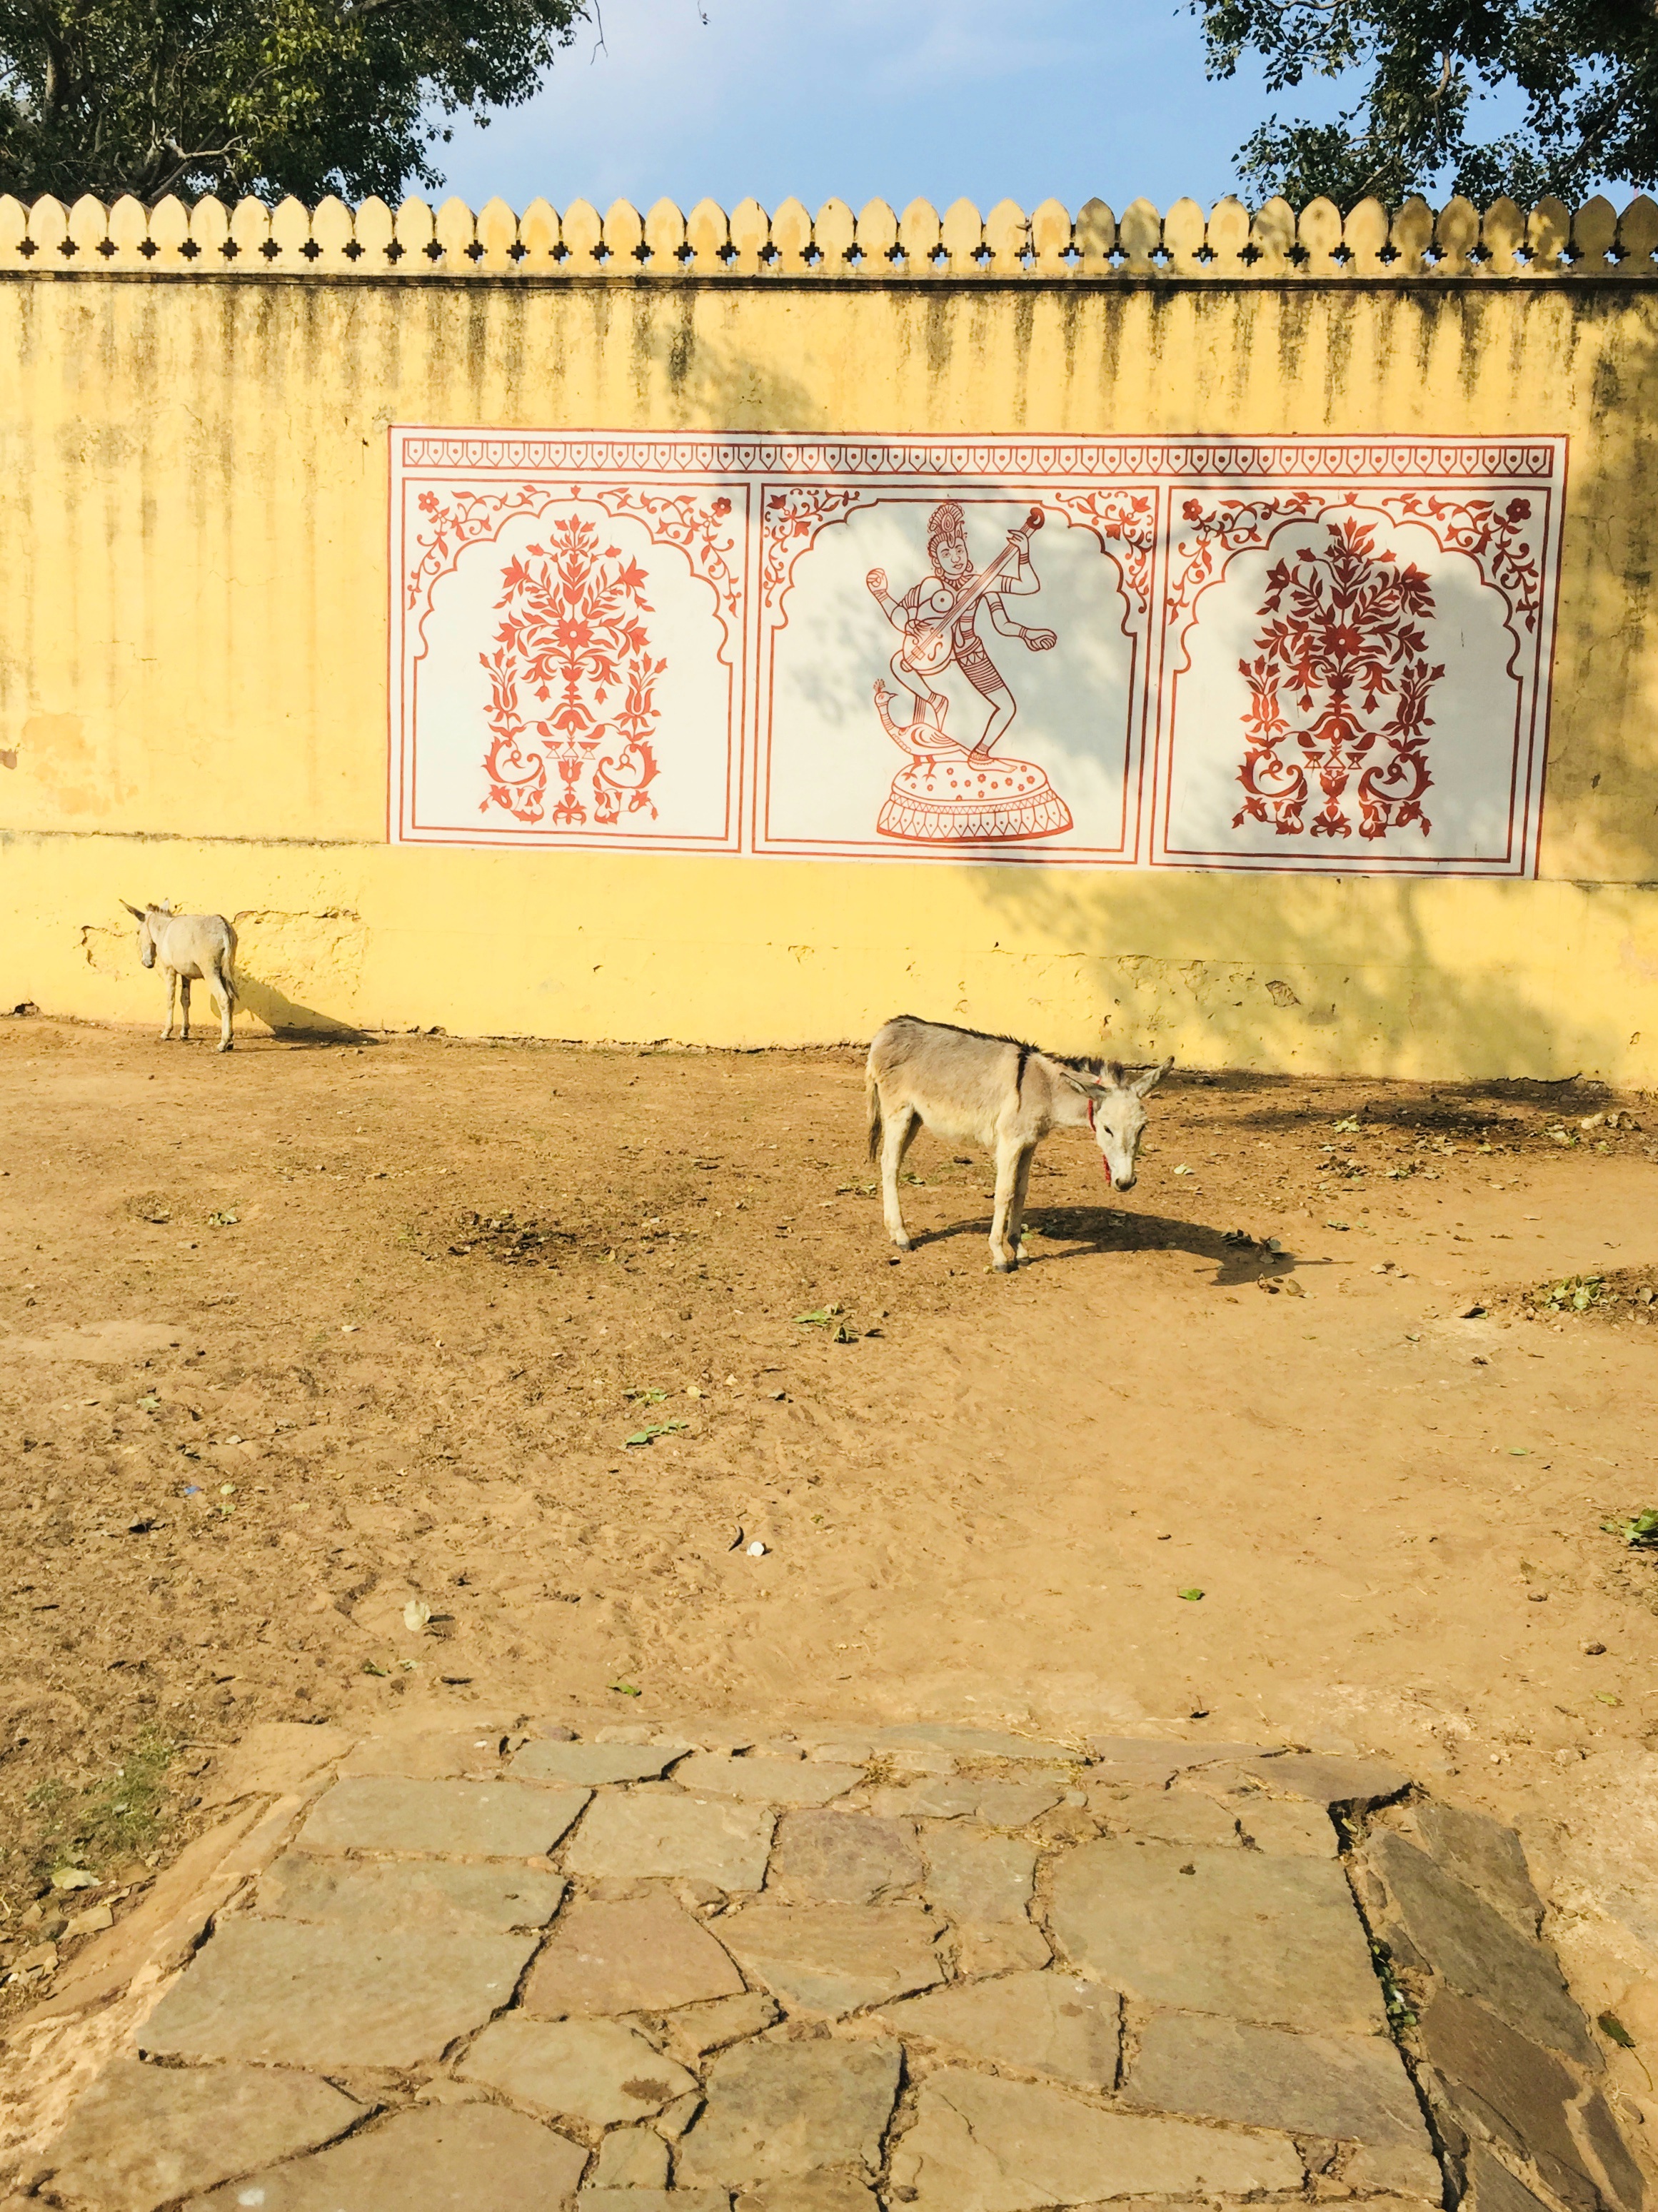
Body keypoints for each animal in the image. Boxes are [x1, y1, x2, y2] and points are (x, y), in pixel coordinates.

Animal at [122, 902, 239, 1053]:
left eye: (138, 932)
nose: (146, 963)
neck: (163, 930)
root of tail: (223, 925)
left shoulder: (170, 970)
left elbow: (170, 999)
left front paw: (166, 1032)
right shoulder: (185, 974)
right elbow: (185, 1000)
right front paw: (184, 1032)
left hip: (210, 972)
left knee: (224, 999)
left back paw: (223, 1043)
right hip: (225, 972)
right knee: (231, 999)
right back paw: (230, 1040)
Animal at [866, 1014, 1171, 1272]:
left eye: (1143, 1128)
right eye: (1107, 1129)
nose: (1125, 1182)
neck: (1045, 1089)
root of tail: (886, 1028)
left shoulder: (1029, 1143)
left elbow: (1021, 1192)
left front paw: (1019, 1250)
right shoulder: (1009, 1143)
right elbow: (1004, 1193)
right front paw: (999, 1255)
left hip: (915, 1118)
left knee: (891, 1163)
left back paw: (894, 1232)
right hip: (899, 1113)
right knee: (890, 1165)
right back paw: (902, 1236)